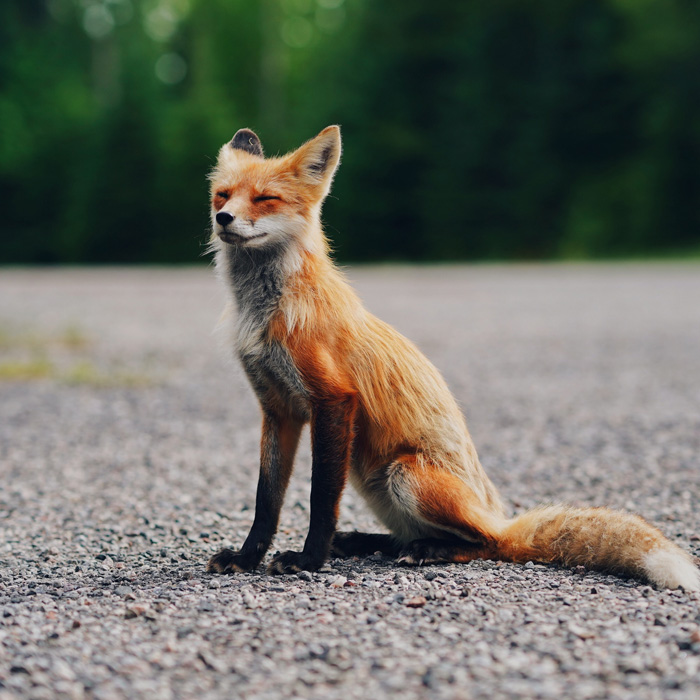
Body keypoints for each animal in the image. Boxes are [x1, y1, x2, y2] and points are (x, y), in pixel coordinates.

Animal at [205, 125, 700, 591]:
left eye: (266, 198)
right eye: (222, 195)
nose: (222, 218)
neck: (266, 312)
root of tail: (497, 513)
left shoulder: (333, 400)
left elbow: (320, 498)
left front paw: (309, 560)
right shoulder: (279, 408)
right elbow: (266, 499)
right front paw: (247, 557)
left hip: (404, 475)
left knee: (489, 544)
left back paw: (429, 550)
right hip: (370, 477)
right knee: (414, 537)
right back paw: (370, 542)